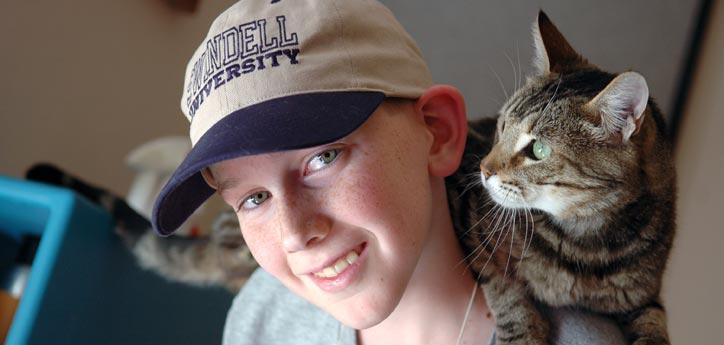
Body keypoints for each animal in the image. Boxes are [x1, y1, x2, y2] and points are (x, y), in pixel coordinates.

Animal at [450, 11, 676, 344]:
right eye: (502, 126)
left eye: (538, 150)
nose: (483, 169)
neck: (586, 247)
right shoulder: (468, 223)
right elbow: (505, 288)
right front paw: (524, 333)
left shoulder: (644, 297)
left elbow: (654, 322)